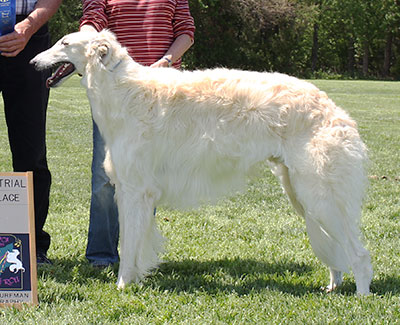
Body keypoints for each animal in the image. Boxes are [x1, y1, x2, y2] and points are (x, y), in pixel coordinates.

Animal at [30, 29, 372, 294]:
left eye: (64, 43)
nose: (33, 62)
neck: (121, 90)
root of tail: (335, 111)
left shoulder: (135, 190)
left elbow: (129, 246)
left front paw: (124, 285)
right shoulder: (130, 190)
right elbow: (135, 242)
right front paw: (136, 278)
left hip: (320, 194)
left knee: (359, 254)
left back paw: (362, 294)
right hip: (303, 194)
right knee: (337, 253)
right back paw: (333, 285)